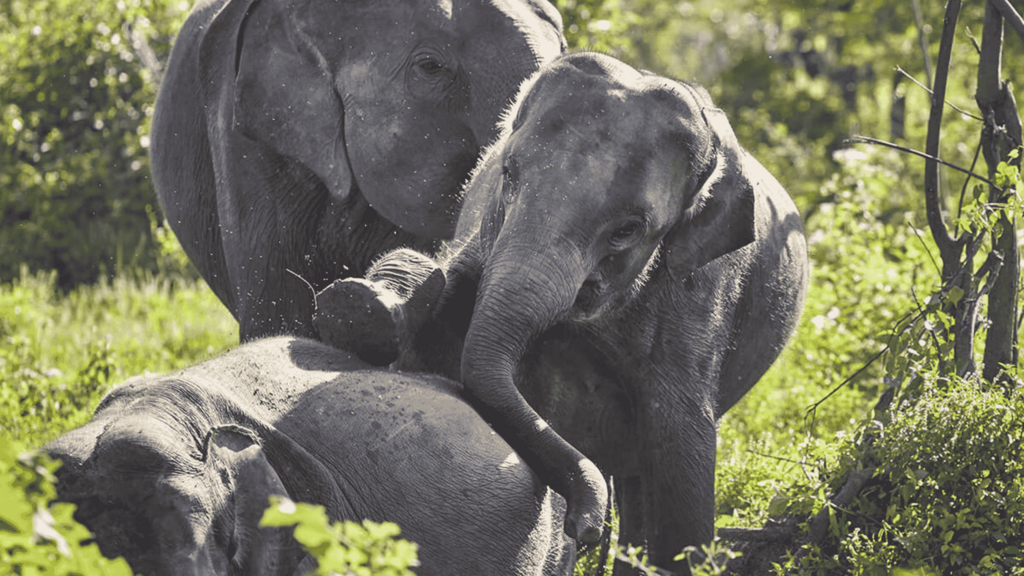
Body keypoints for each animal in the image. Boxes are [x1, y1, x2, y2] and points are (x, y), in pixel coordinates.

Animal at [315, 51, 809, 573]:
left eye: (627, 230)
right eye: (508, 174)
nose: (584, 526)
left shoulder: (699, 295)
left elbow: (682, 454)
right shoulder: (483, 231)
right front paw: (365, 305)